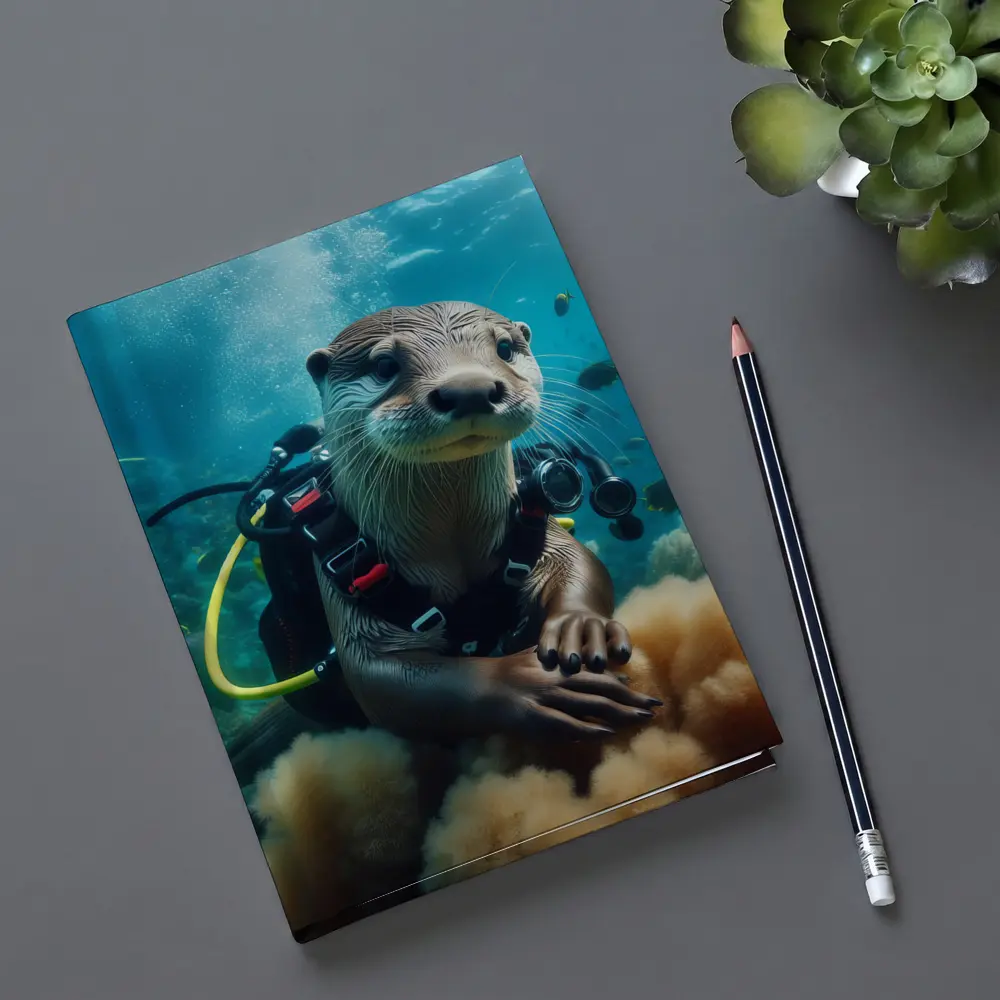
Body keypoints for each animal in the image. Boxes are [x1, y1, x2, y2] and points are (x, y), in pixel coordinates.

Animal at [304, 302, 661, 743]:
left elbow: (580, 562)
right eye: (384, 364)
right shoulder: (344, 582)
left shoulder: (532, 521)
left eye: (505, 348)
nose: (469, 388)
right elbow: (383, 682)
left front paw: (579, 626)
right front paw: (528, 684)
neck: (451, 539)